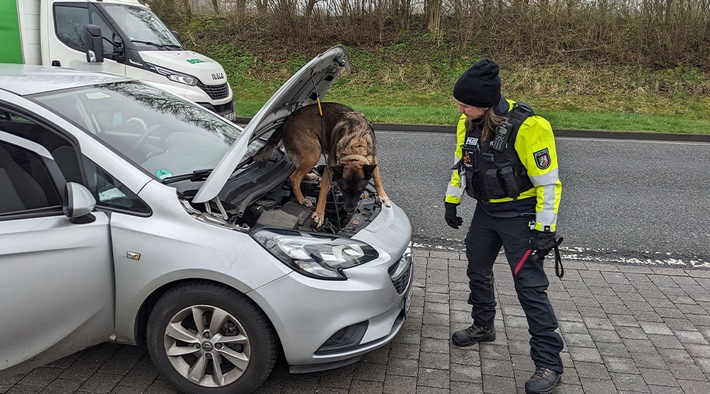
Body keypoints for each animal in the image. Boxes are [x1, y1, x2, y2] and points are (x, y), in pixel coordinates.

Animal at [254, 102, 392, 228]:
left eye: (361, 190)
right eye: (343, 190)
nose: (349, 210)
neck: (355, 144)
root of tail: (287, 120)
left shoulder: (372, 159)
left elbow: (377, 178)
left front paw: (383, 196)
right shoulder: (329, 169)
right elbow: (323, 193)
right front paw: (319, 214)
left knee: (297, 168)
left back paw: (309, 175)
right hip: (314, 153)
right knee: (294, 177)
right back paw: (302, 199)